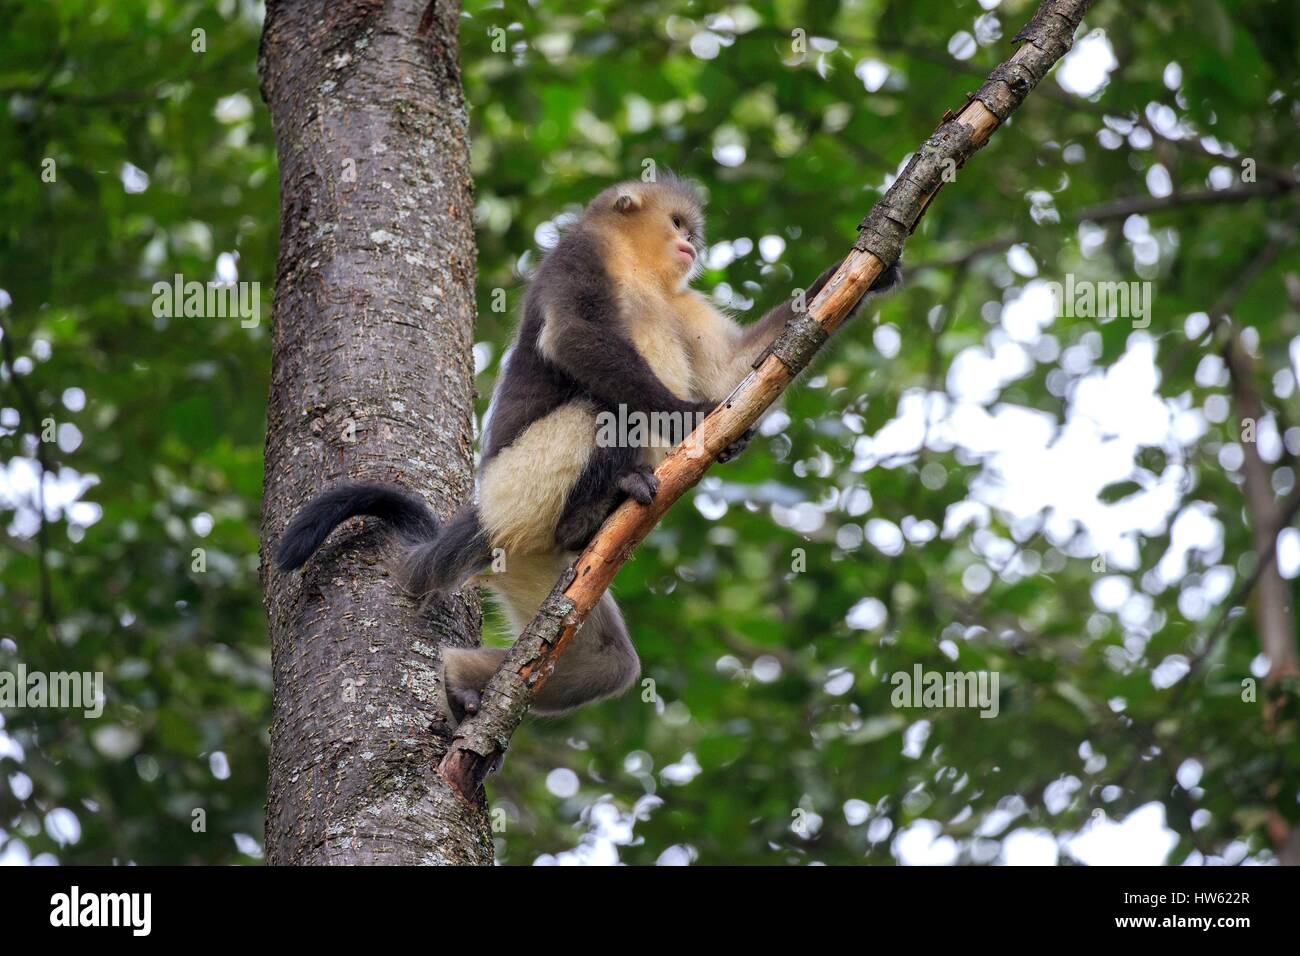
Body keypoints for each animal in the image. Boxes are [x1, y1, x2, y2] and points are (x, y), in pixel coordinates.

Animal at [275, 171, 904, 723]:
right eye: (677, 223)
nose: (689, 246)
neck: (639, 272)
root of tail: (483, 516)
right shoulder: (577, 257)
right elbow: (573, 336)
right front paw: (692, 419)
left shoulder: (679, 300)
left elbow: (737, 370)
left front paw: (869, 270)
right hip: (521, 487)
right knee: (596, 404)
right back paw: (590, 512)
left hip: (539, 570)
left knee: (603, 662)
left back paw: (459, 683)